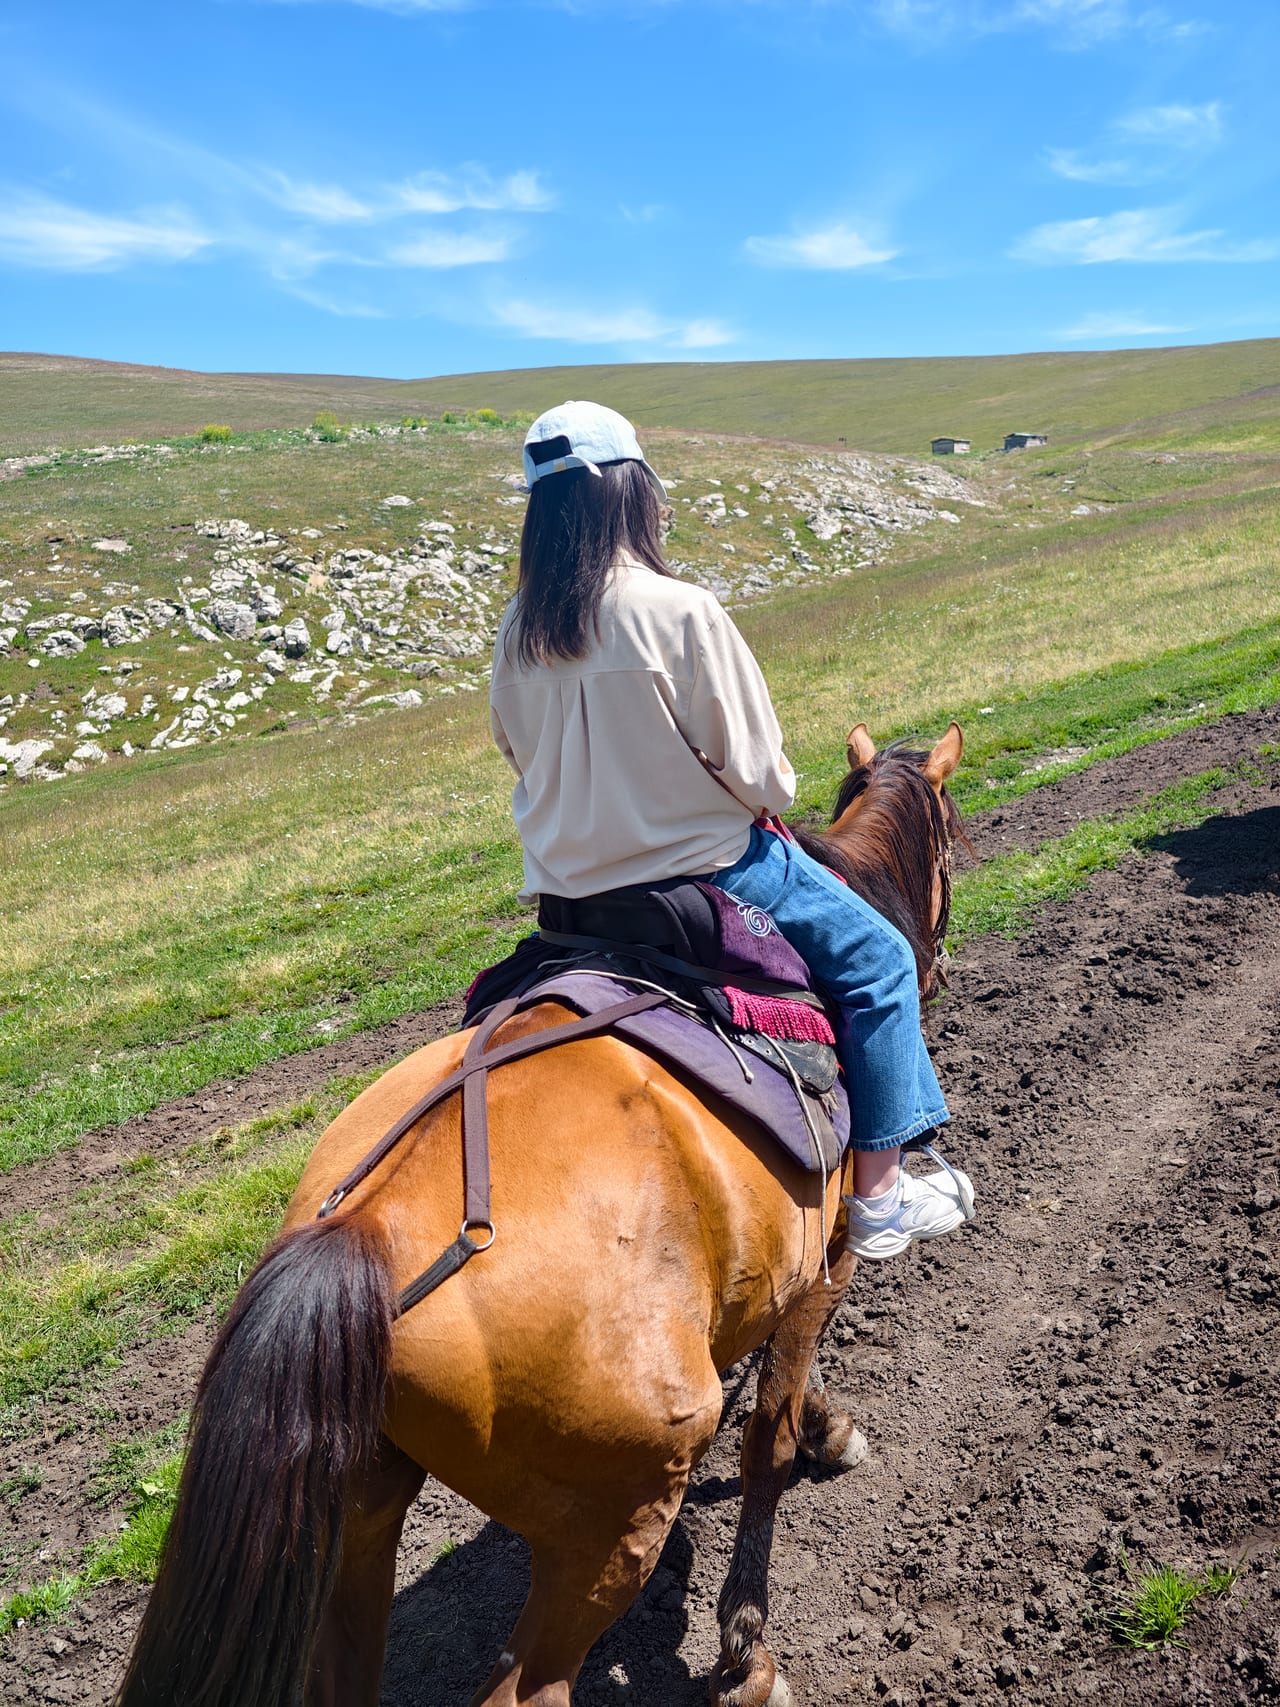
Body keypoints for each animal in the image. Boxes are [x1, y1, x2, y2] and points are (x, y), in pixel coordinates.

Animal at [115, 719, 965, 1707]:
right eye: (953, 841)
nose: (939, 964)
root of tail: (364, 1231)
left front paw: (830, 1426)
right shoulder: (825, 1263)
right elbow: (768, 1437)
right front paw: (746, 1649)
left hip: (360, 1517)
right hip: (611, 1524)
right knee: (531, 1684)